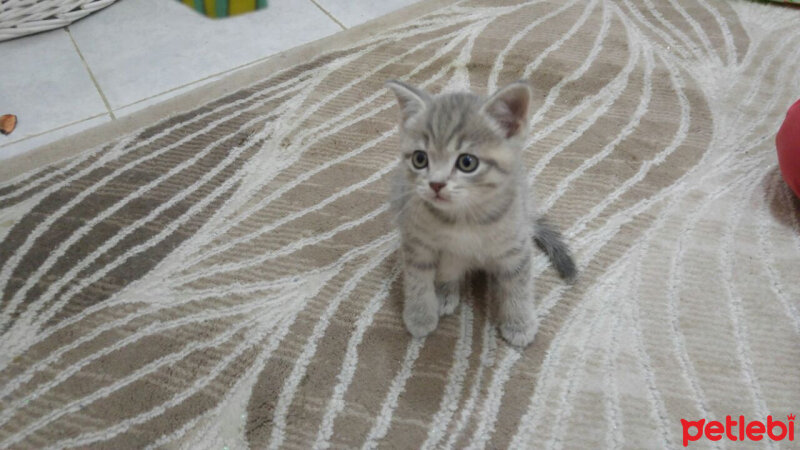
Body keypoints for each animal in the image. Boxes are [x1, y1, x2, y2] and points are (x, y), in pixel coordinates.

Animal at [388, 79, 576, 348]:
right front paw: (420, 315)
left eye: (467, 162)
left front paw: (520, 323)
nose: (436, 184)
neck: (464, 217)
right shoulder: (416, 241)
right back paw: (445, 291)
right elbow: (417, 279)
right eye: (420, 159)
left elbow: (519, 284)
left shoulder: (516, 245)